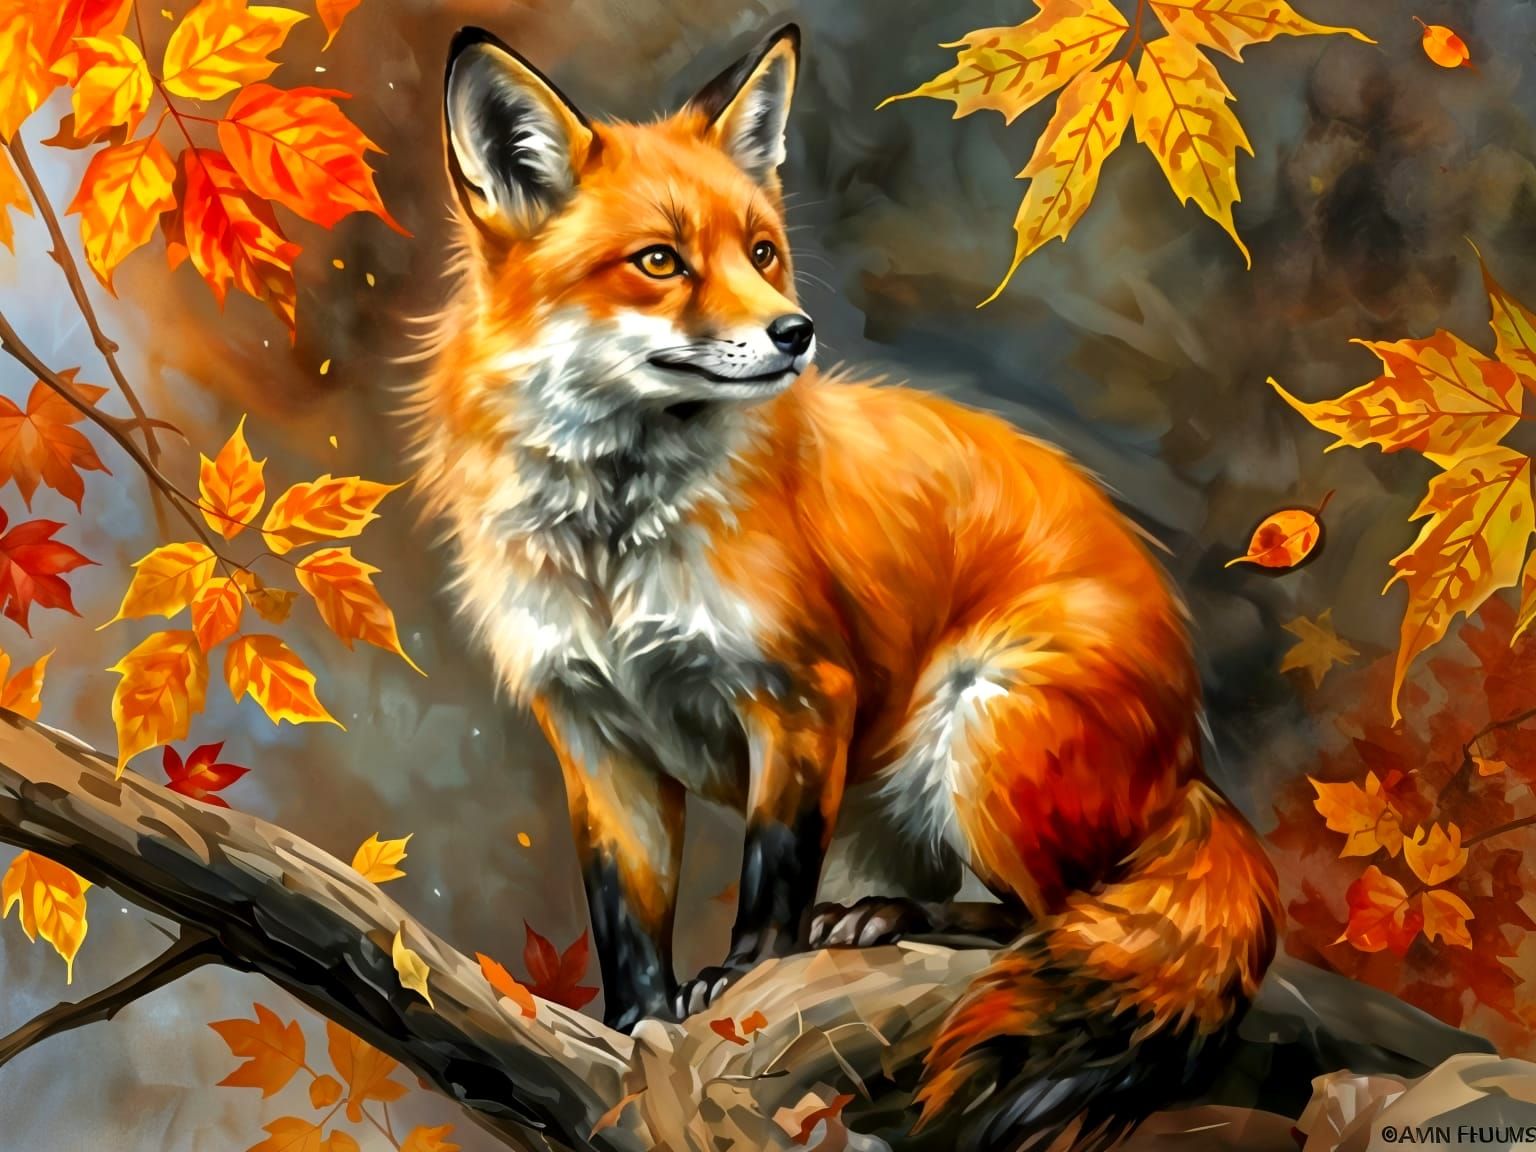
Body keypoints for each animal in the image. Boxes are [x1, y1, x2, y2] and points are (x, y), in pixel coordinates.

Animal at [413, 21, 1281, 1151]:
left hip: (985, 727)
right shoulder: (594, 731)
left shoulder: (800, 695)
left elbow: (772, 877)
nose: (796, 332)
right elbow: (625, 919)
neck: (617, 542)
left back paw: (900, 920)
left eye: (762, 252)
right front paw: (634, 1026)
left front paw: (738, 981)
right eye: (660, 262)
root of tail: (1186, 772)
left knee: (1052, 916)